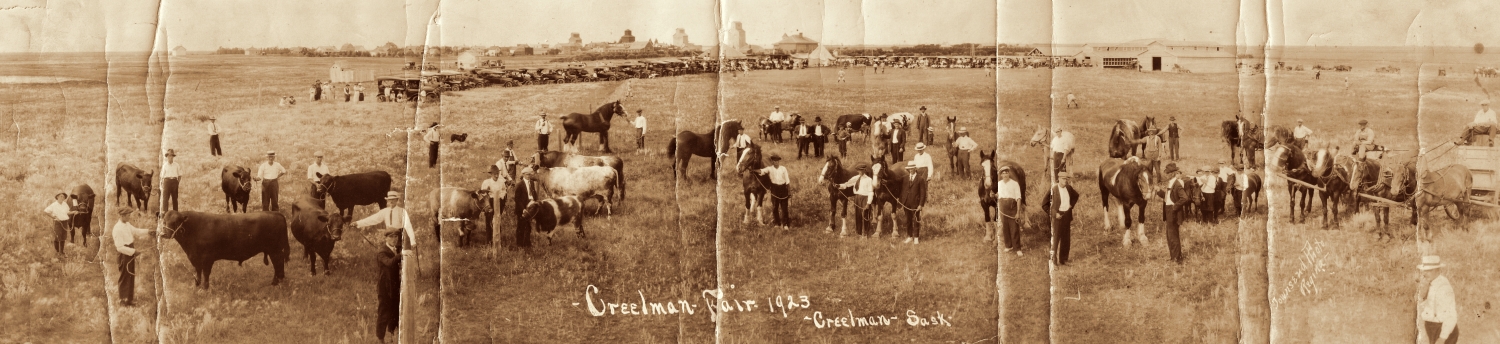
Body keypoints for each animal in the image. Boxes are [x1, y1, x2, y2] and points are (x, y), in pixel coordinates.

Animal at [161, 210, 289, 288]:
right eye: (164, 221)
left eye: (175, 222)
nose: (163, 234)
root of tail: (276, 213)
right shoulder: (195, 258)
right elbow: (198, 271)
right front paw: (197, 285)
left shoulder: (207, 258)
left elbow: (205, 273)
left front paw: (205, 288)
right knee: (278, 265)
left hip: (275, 250)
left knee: (278, 264)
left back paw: (277, 282)